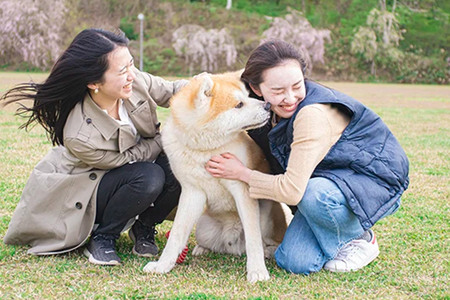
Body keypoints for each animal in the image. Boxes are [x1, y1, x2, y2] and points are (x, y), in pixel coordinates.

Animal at [143, 71, 292, 282]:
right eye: (239, 104)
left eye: (247, 97)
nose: (268, 106)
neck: (206, 151)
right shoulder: (192, 193)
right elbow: (177, 235)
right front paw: (162, 265)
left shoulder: (242, 192)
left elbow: (253, 239)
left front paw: (257, 271)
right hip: (204, 227)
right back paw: (201, 249)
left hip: (266, 215)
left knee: (268, 242)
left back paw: (268, 252)